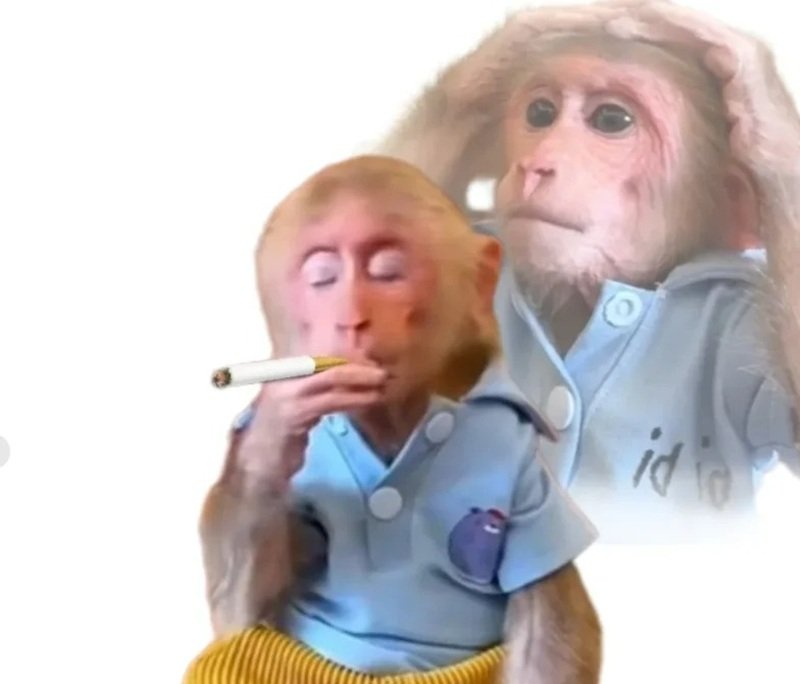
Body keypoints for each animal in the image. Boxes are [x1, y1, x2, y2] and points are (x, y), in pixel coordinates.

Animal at [185, 156, 602, 684]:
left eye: (387, 271)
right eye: (322, 278)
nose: (350, 319)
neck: (393, 417)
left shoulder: (529, 472)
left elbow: (549, 616)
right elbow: (241, 611)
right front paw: (272, 435)